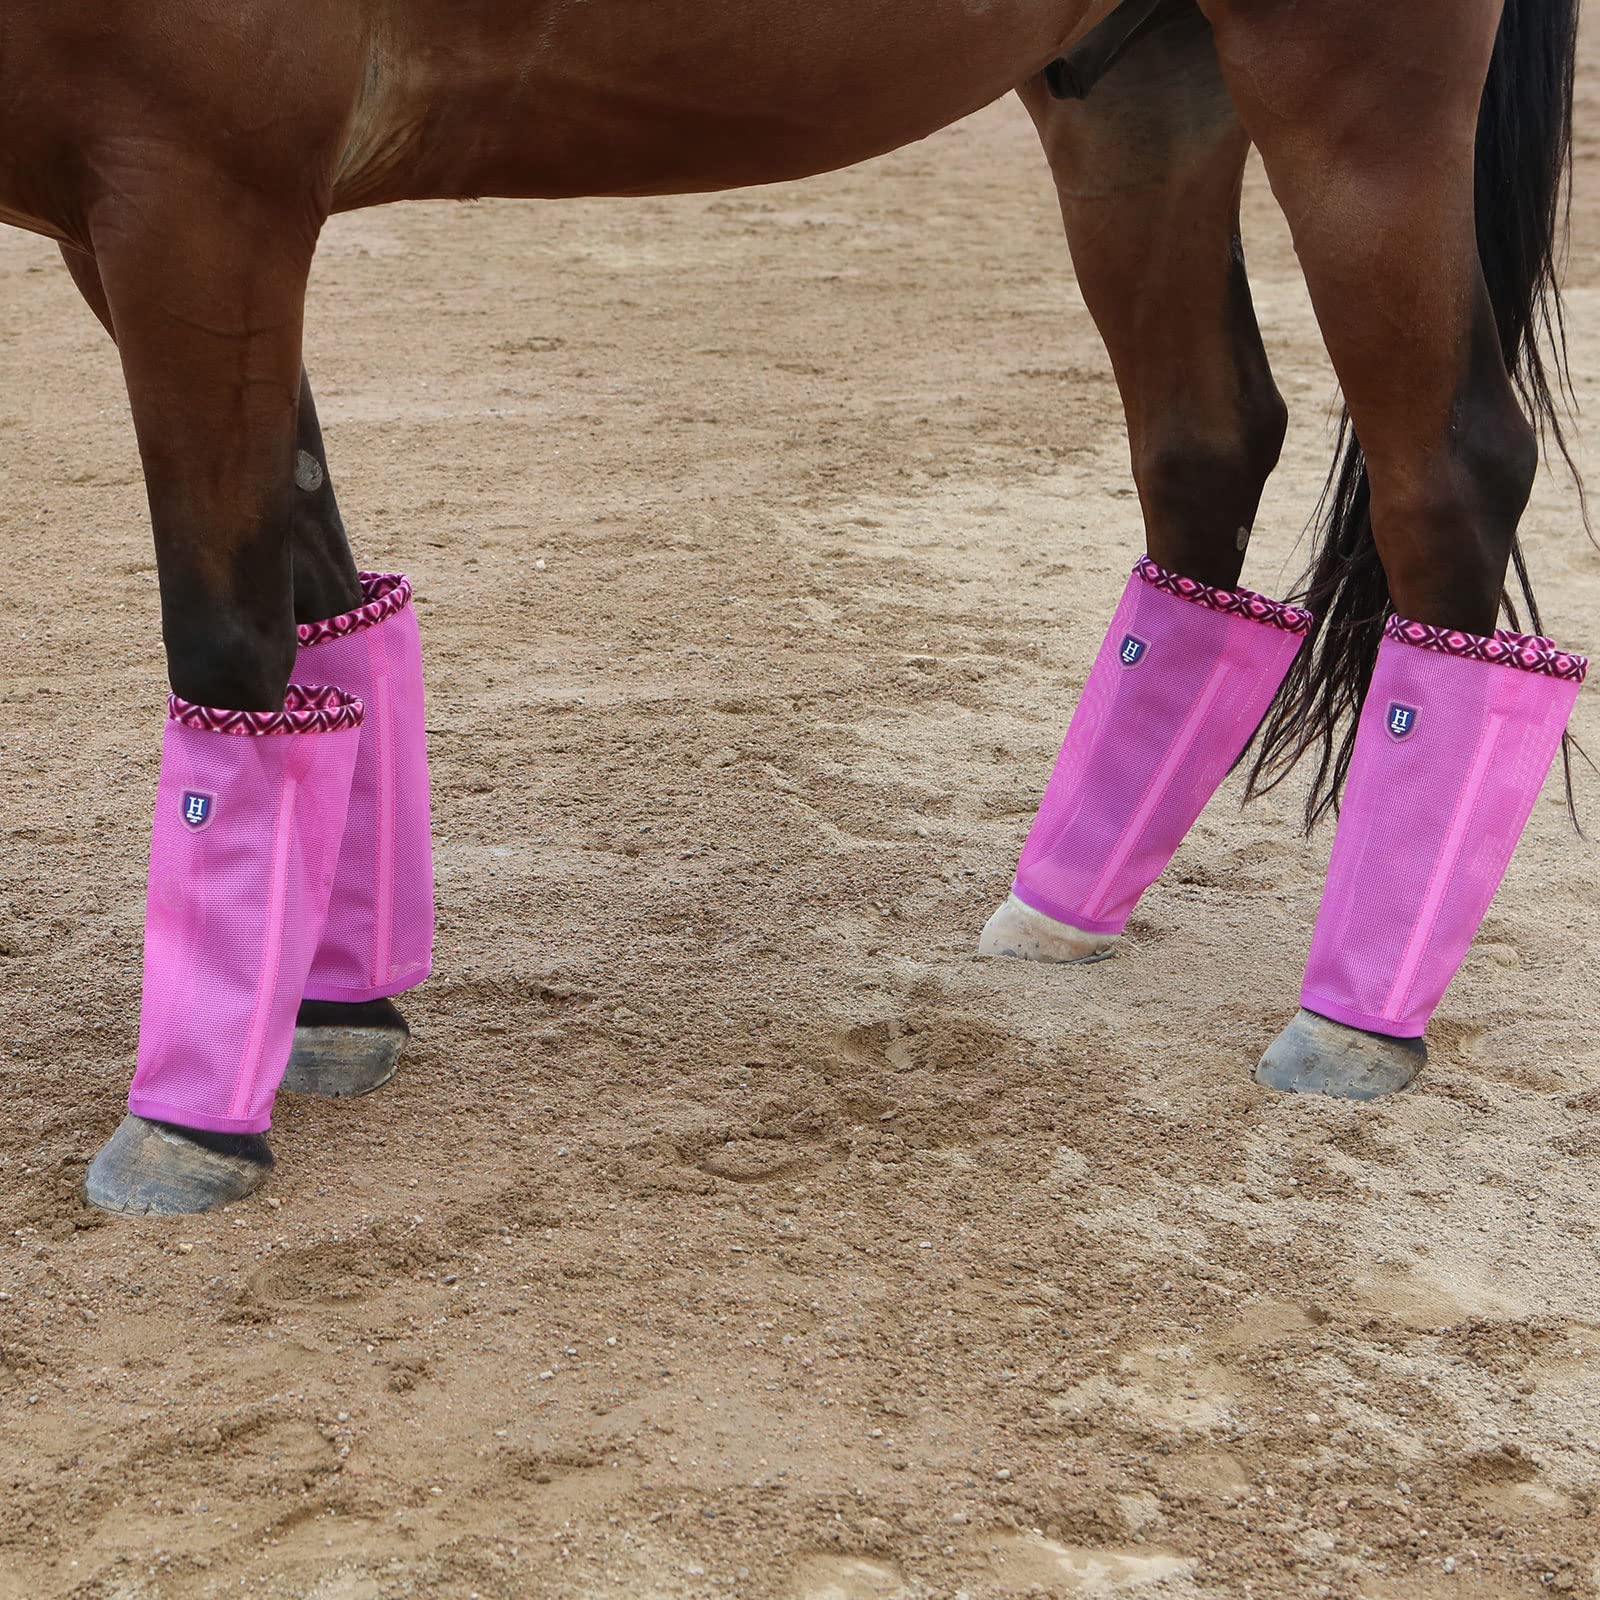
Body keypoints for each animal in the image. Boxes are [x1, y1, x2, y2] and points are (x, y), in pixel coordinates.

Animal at [0, 0, 1584, 1213]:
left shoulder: (203, 192)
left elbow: (233, 632)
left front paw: (195, 1116)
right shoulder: (132, 225)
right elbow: (328, 599)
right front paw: (329, 1009)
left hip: (1351, 85)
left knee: (1446, 474)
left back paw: (1357, 1018)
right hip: (1139, 93)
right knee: (1205, 441)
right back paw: (1070, 904)